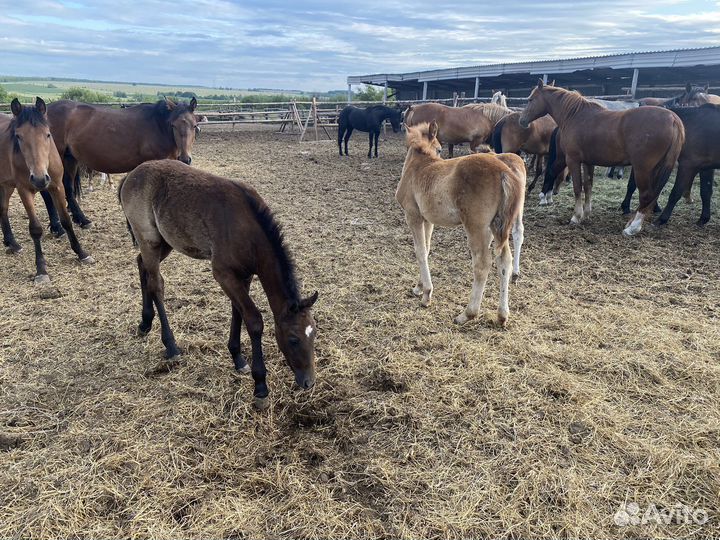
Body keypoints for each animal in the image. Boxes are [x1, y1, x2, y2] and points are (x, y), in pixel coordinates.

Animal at [0, 98, 93, 283]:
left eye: (48, 134)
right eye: (18, 136)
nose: (39, 179)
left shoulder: (57, 186)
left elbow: (66, 220)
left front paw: (81, 253)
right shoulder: (24, 191)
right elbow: (35, 229)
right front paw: (41, 270)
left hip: (7, 185)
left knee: (3, 209)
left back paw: (12, 243)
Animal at [37, 97, 199, 235]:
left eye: (194, 125)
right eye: (173, 125)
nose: (185, 159)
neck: (158, 126)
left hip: (69, 159)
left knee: (68, 188)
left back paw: (82, 220)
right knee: (47, 192)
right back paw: (57, 228)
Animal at [119, 159, 318, 409]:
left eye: (314, 334)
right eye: (293, 339)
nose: (308, 382)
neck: (248, 229)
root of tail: (131, 175)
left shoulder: (243, 276)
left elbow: (238, 312)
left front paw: (238, 358)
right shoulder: (223, 275)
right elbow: (254, 321)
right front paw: (260, 387)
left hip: (165, 242)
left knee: (141, 266)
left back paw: (145, 323)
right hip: (149, 241)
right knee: (156, 284)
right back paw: (171, 345)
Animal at [396, 121, 525, 326]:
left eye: (440, 149)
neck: (419, 165)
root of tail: (504, 171)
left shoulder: (413, 215)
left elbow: (420, 251)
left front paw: (426, 294)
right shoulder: (428, 220)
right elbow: (427, 248)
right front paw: (419, 287)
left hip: (477, 227)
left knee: (482, 264)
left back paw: (467, 313)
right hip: (496, 227)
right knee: (505, 261)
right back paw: (502, 315)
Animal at [520, 80, 684, 235]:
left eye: (530, 99)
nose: (521, 120)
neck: (574, 116)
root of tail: (673, 118)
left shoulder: (573, 160)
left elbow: (577, 187)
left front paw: (576, 217)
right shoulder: (588, 162)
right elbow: (588, 186)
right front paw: (586, 214)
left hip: (642, 169)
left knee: (646, 195)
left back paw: (632, 229)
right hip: (656, 169)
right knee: (652, 196)